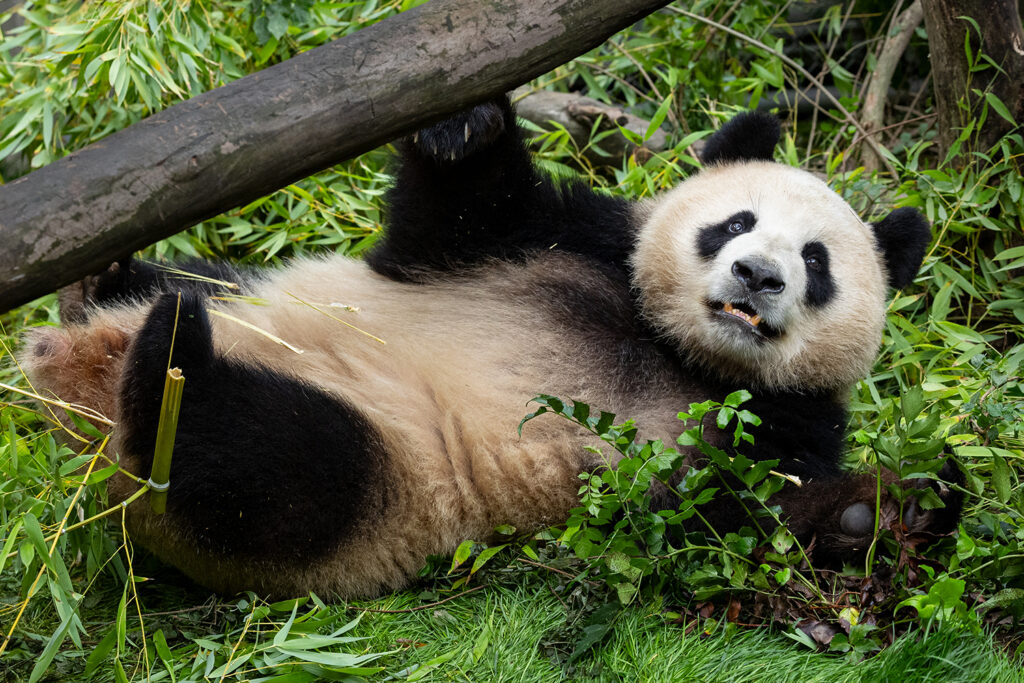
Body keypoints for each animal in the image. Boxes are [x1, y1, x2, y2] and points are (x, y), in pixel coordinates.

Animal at [21, 97, 961, 599]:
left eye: (817, 262)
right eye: (735, 222)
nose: (759, 274)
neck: (676, 348)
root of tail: (75, 387)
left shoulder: (778, 422)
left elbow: (718, 521)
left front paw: (881, 512)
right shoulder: (565, 241)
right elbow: (453, 220)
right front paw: (465, 125)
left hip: (385, 484)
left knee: (269, 465)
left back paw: (166, 372)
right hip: (246, 293)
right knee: (191, 294)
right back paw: (106, 285)